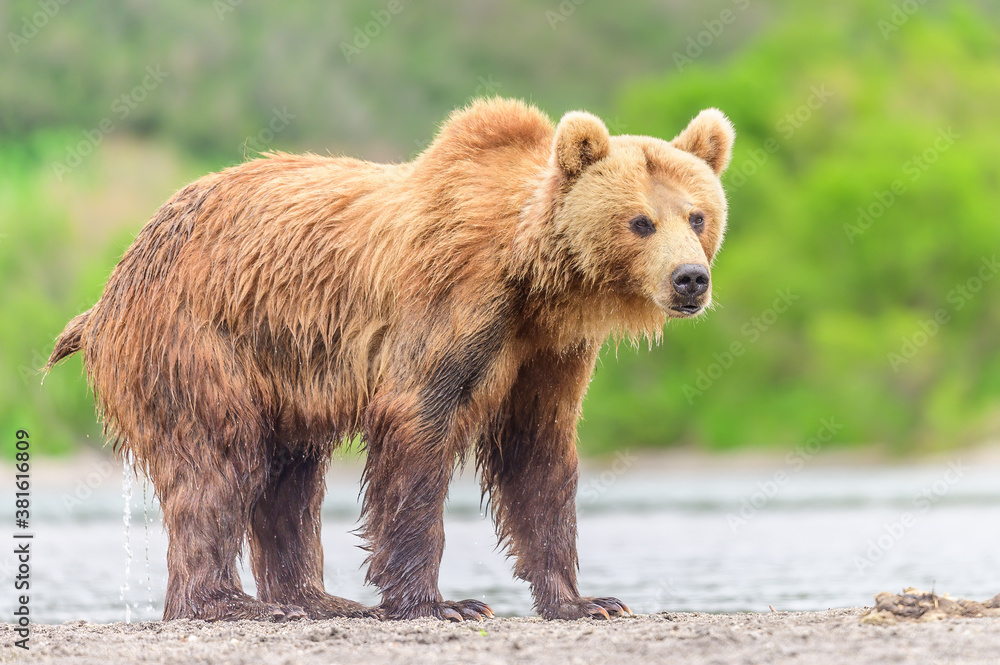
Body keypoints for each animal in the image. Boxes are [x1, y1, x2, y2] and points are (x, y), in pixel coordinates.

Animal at [47, 97, 734, 622]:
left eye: (698, 215)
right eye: (641, 221)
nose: (690, 279)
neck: (533, 275)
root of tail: (114, 283)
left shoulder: (547, 350)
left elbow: (537, 455)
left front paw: (587, 600)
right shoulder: (453, 304)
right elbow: (417, 433)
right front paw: (443, 602)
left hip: (282, 375)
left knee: (289, 477)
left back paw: (317, 599)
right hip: (199, 340)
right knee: (218, 461)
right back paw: (233, 603)